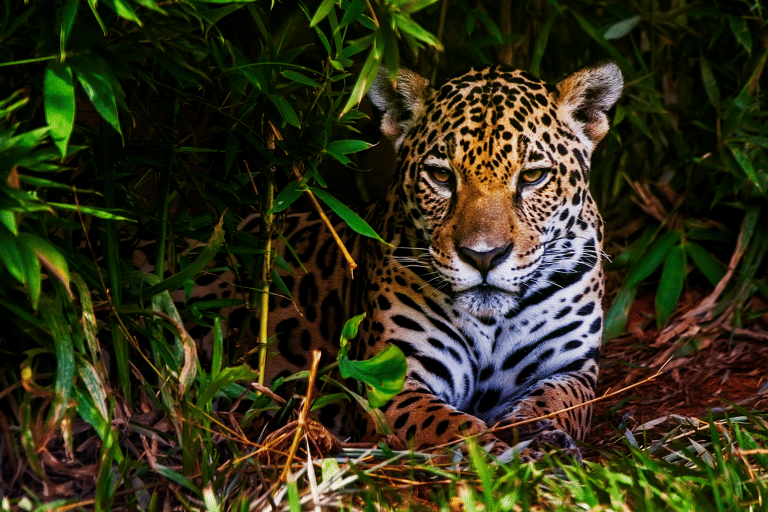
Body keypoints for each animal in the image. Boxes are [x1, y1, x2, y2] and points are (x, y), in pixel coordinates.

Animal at [142, 62, 623, 462]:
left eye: (533, 176)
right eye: (442, 176)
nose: (482, 256)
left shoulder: (570, 369)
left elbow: (556, 405)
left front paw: (539, 438)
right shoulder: (390, 379)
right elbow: (451, 427)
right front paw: (498, 452)